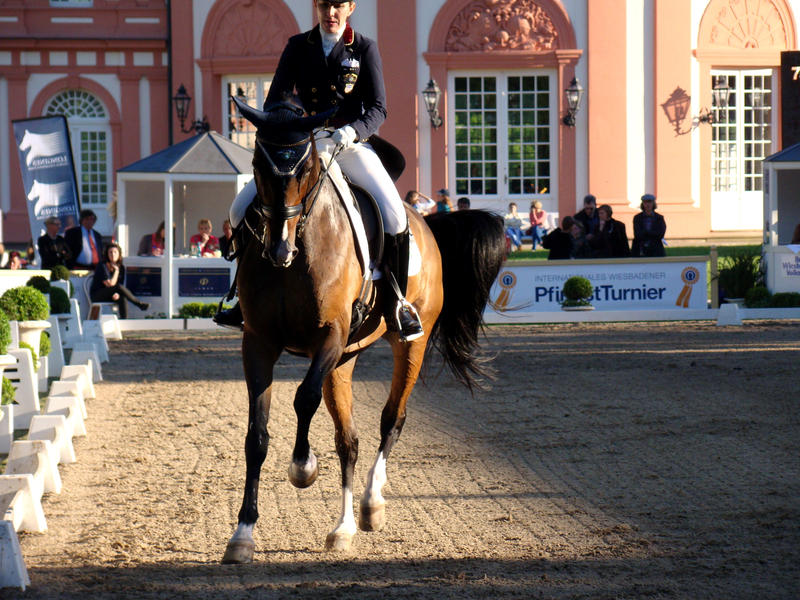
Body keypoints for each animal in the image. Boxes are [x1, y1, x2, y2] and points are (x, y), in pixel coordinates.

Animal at [222, 97, 504, 564]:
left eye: (305, 167)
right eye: (258, 166)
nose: (278, 248)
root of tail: (425, 221)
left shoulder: (330, 335)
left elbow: (303, 399)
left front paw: (302, 468)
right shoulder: (258, 343)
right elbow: (255, 436)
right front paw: (242, 534)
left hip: (410, 344)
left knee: (392, 418)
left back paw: (371, 504)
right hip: (344, 359)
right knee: (348, 440)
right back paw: (343, 528)